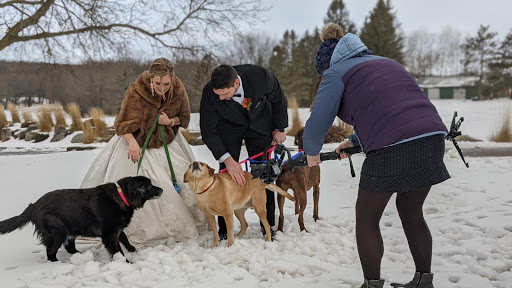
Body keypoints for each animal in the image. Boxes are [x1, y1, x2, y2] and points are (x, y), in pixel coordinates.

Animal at [0, 176, 162, 260]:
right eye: (149, 186)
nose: (161, 189)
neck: (123, 196)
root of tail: (33, 205)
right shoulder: (109, 234)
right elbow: (117, 251)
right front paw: (125, 262)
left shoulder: (115, 229)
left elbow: (125, 238)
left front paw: (132, 249)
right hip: (58, 230)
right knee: (51, 251)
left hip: (70, 229)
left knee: (69, 247)